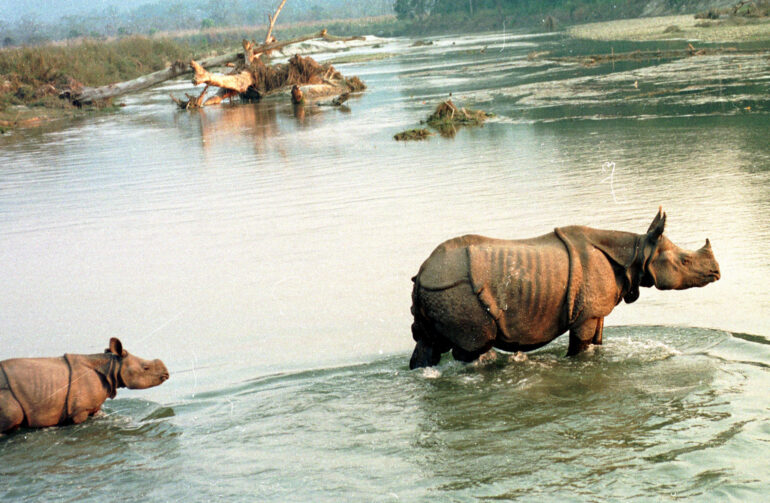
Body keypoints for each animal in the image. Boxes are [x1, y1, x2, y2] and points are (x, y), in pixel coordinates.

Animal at [409, 208, 720, 369]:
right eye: (685, 261)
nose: (717, 272)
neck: (636, 251)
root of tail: (423, 272)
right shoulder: (585, 314)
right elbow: (580, 346)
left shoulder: (595, 310)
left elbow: (597, 341)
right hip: (453, 289)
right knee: (474, 348)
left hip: (436, 289)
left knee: (427, 343)